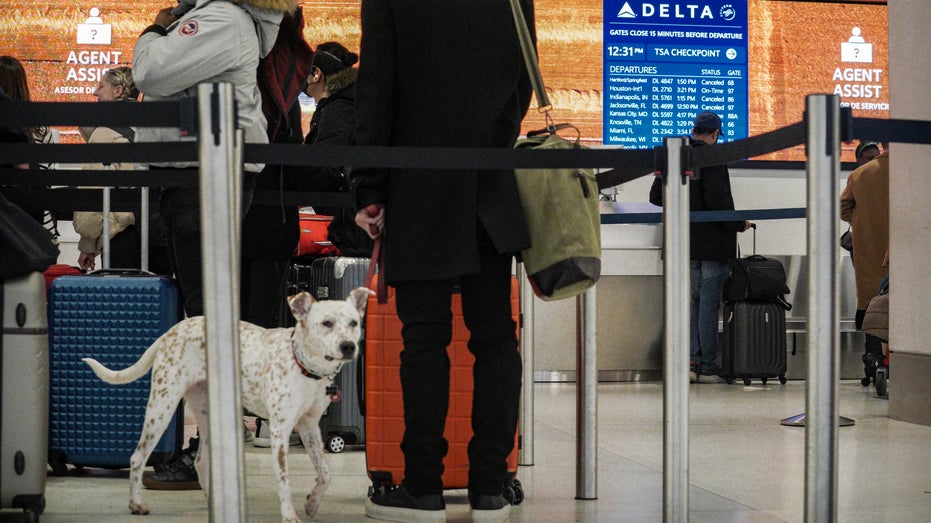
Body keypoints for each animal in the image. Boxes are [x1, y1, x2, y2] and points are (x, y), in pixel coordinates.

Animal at [81, 288, 372, 520]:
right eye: (326, 323)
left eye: (354, 323)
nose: (348, 346)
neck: (303, 365)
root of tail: (174, 329)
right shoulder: (281, 431)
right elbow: (284, 482)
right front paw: (290, 516)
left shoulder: (310, 428)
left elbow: (325, 473)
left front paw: (312, 503)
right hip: (161, 408)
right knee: (138, 456)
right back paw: (136, 503)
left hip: (209, 415)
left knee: (200, 461)